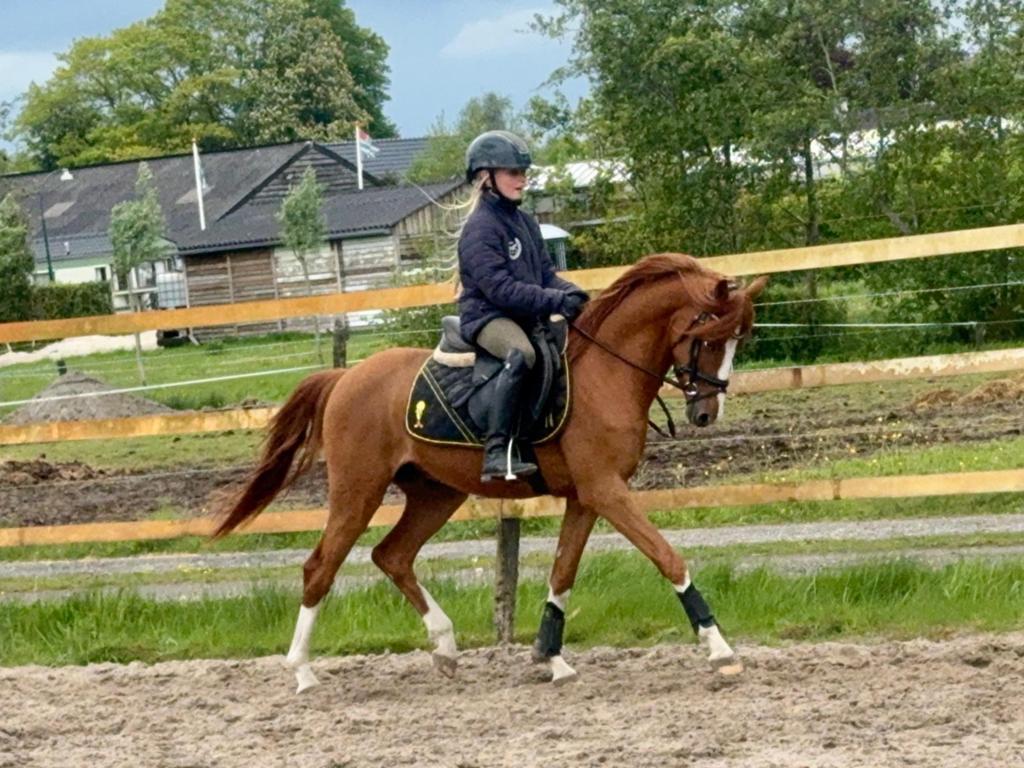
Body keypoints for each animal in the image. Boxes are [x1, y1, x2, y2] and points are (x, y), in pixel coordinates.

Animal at [214, 253, 768, 692]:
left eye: (738, 340)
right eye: (708, 337)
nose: (706, 413)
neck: (604, 374)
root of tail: (346, 377)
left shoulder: (586, 497)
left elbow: (562, 573)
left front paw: (551, 658)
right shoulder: (606, 491)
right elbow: (667, 557)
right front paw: (719, 649)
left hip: (435, 494)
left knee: (391, 555)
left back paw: (444, 648)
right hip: (358, 491)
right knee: (320, 567)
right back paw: (303, 672)